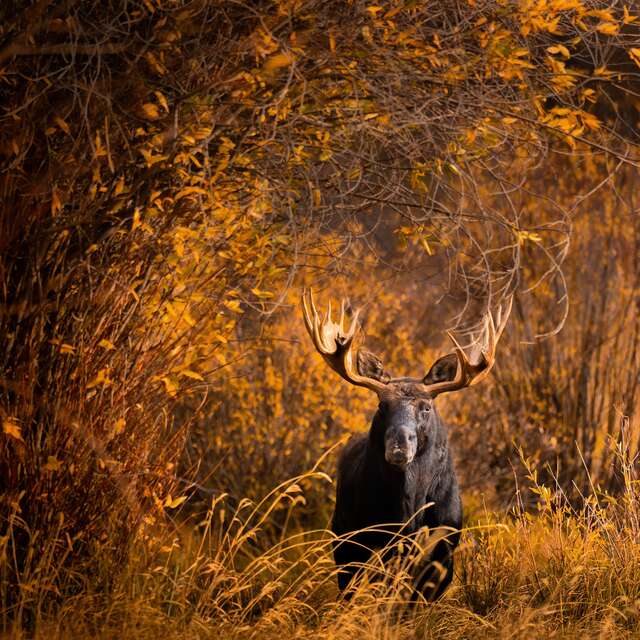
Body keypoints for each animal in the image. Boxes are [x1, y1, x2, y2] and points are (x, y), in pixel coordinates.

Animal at [302, 290, 512, 600]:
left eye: (426, 407)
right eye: (381, 405)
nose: (399, 446)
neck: (407, 513)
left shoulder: (443, 550)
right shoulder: (364, 542)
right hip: (342, 537)